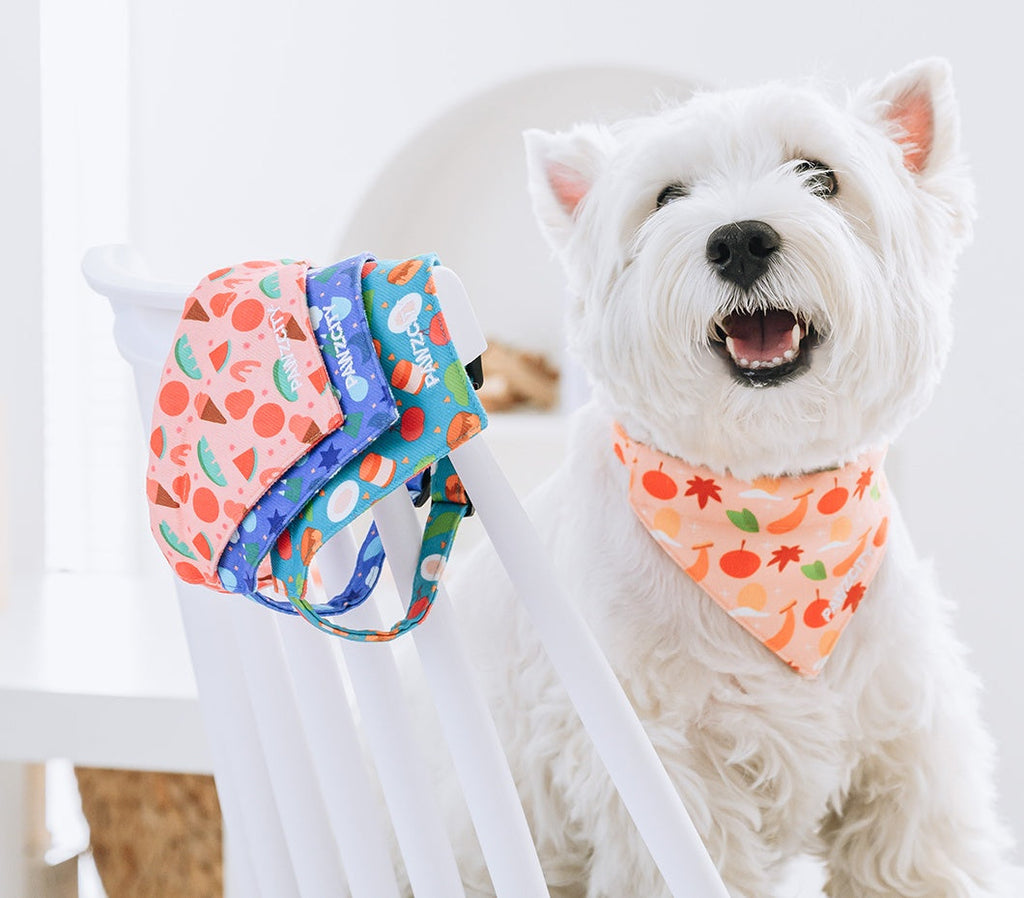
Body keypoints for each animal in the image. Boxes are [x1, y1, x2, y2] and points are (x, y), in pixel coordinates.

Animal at [440, 59, 1015, 892]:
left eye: (820, 176)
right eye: (667, 197)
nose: (740, 240)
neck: (765, 501)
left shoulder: (906, 754)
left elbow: (920, 859)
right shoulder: (665, 774)